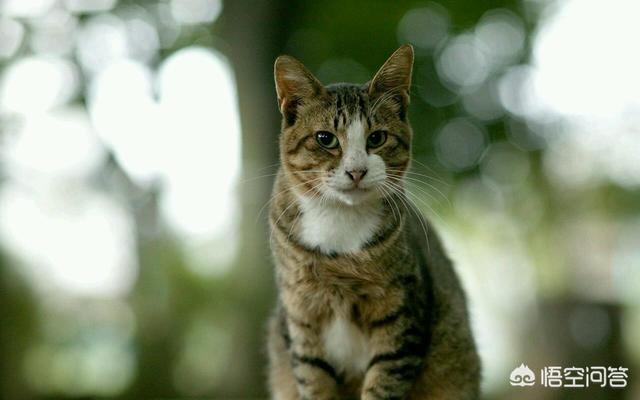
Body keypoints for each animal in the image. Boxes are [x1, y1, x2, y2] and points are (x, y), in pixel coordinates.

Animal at [264, 45, 480, 398]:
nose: (357, 171)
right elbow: (314, 381)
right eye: (325, 138)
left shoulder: (401, 317)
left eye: (377, 138)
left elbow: (383, 384)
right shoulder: (302, 320)